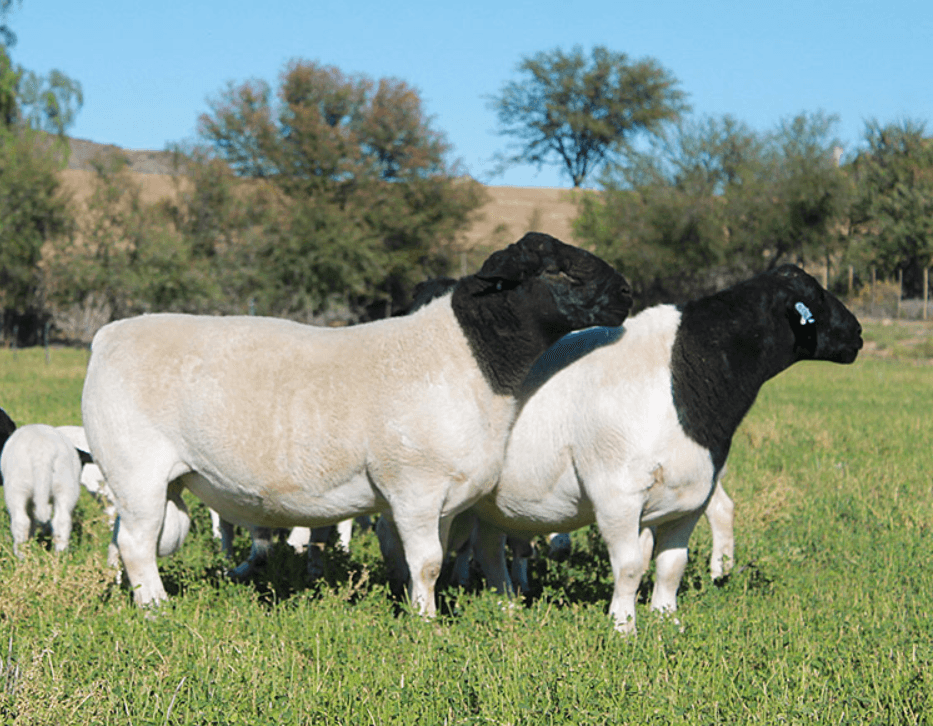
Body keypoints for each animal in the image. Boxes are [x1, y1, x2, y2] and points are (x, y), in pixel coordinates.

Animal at [1, 424, 83, 556]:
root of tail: (43, 451)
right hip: (66, 485)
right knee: (62, 521)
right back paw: (60, 554)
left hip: (17, 487)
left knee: (21, 521)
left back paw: (21, 554)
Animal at [81, 232, 634, 609]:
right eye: (558, 271)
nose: (628, 294)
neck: (465, 358)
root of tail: (106, 336)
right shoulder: (413, 485)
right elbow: (427, 563)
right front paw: (426, 623)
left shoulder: (443, 496)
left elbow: (434, 558)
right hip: (135, 468)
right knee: (136, 543)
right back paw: (156, 609)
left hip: (150, 479)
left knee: (131, 540)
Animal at [416, 265, 860, 633]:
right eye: (815, 297)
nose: (857, 333)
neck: (683, 377)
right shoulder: (617, 494)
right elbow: (629, 568)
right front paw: (623, 627)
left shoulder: (689, 496)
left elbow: (670, 567)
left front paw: (667, 620)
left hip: (494, 501)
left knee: (490, 549)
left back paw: (506, 606)